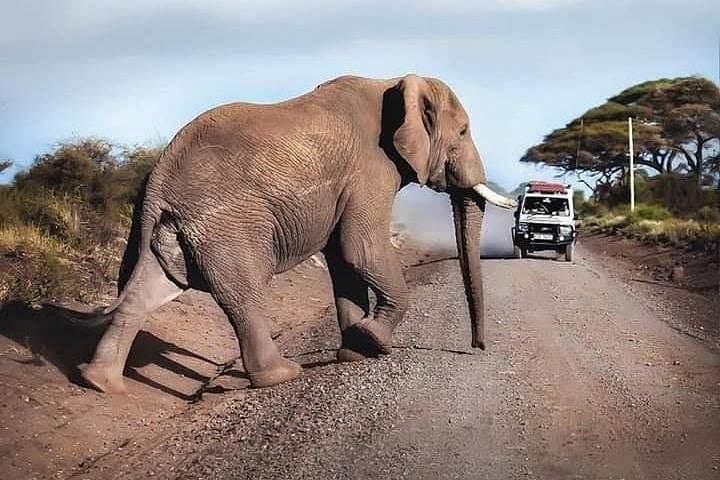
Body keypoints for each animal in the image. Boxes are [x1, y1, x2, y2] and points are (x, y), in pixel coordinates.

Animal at [78, 74, 516, 394]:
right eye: (463, 132)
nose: (477, 348)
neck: (392, 83)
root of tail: (158, 179)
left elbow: (343, 260)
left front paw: (354, 352)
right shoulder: (370, 168)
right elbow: (360, 249)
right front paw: (373, 340)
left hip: (166, 228)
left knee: (148, 289)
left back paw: (100, 384)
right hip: (227, 226)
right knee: (245, 293)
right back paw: (281, 374)